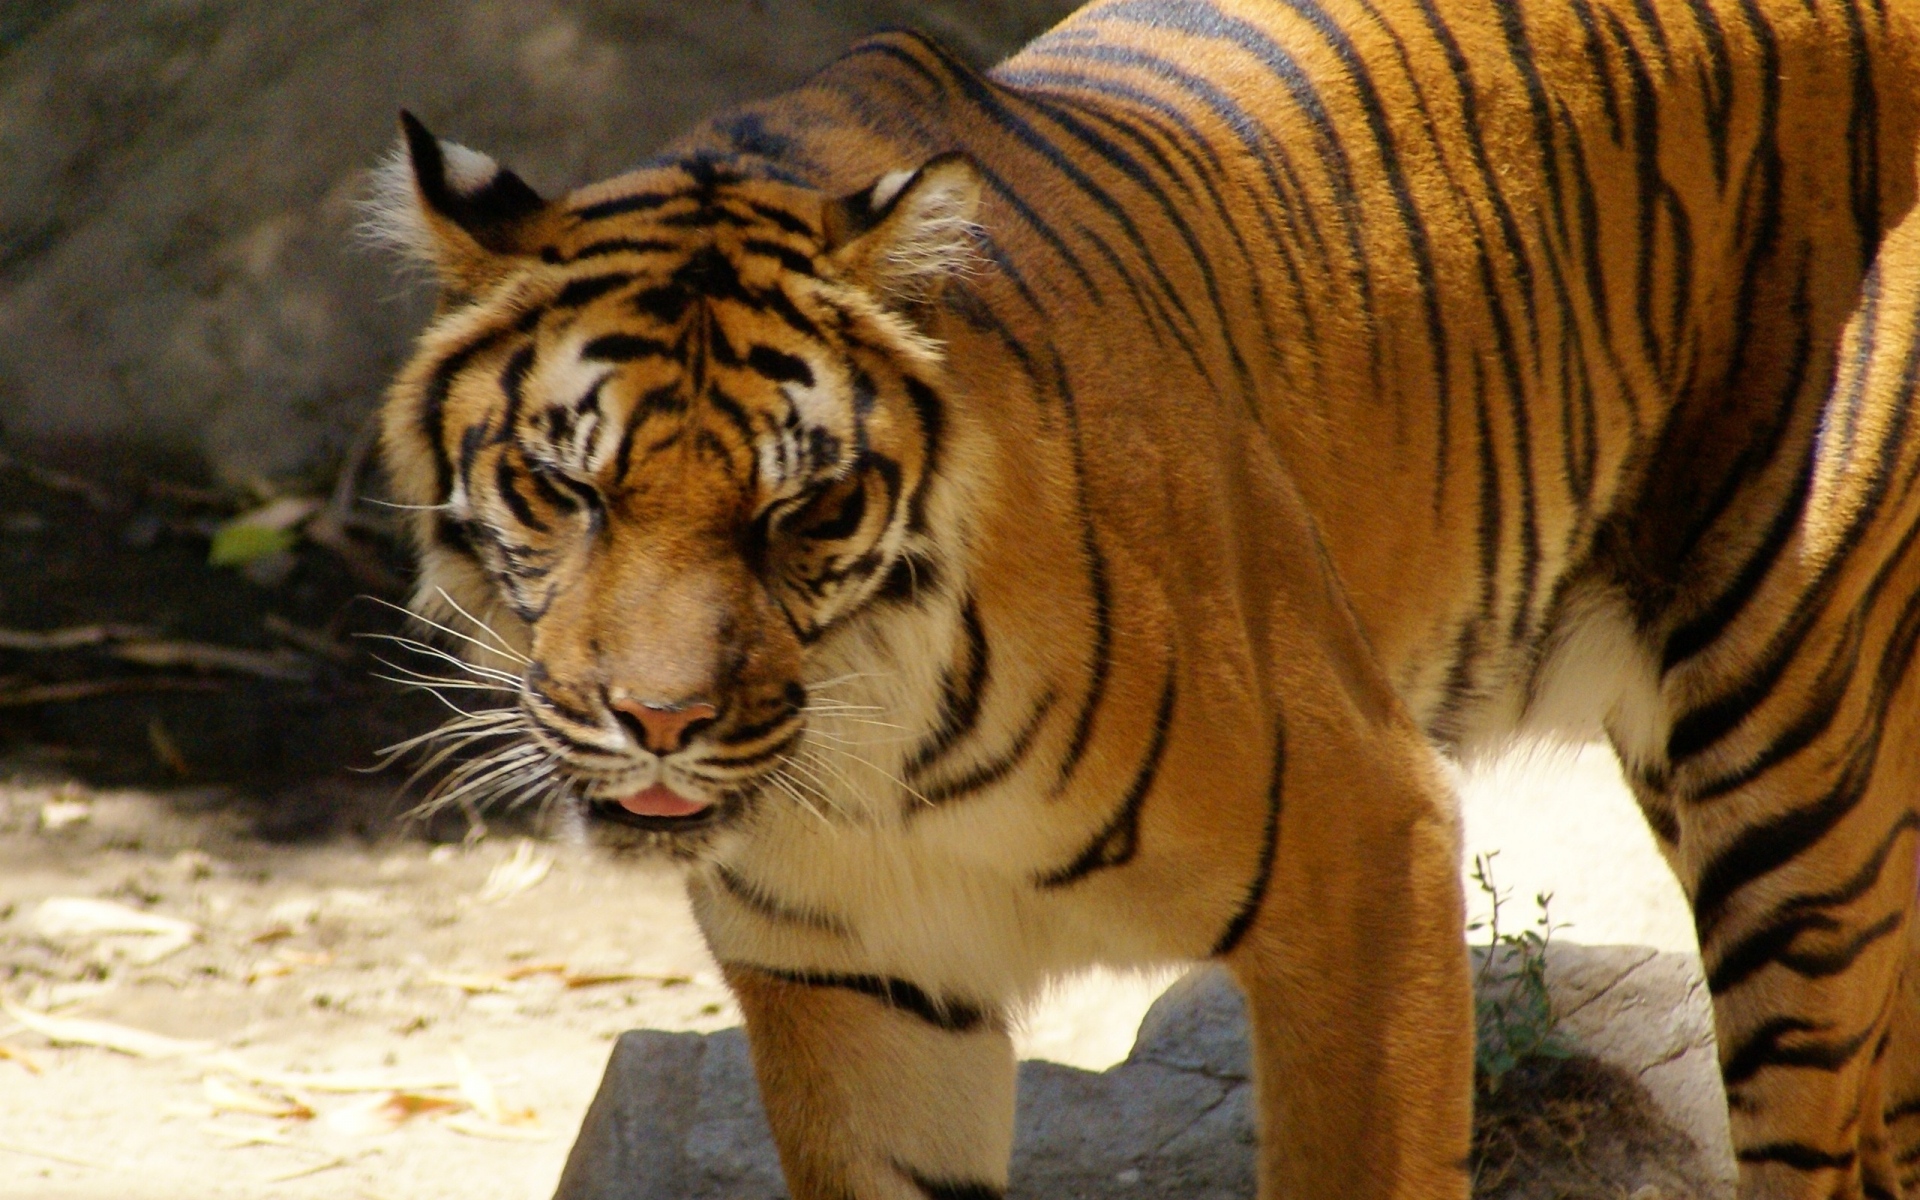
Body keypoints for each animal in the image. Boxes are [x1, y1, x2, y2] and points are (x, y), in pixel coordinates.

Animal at [368, 0, 1920, 1195]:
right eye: (564, 490)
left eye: (801, 509)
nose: (661, 722)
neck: (878, 772)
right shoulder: (860, 988)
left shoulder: (1370, 857)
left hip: (1788, 763)